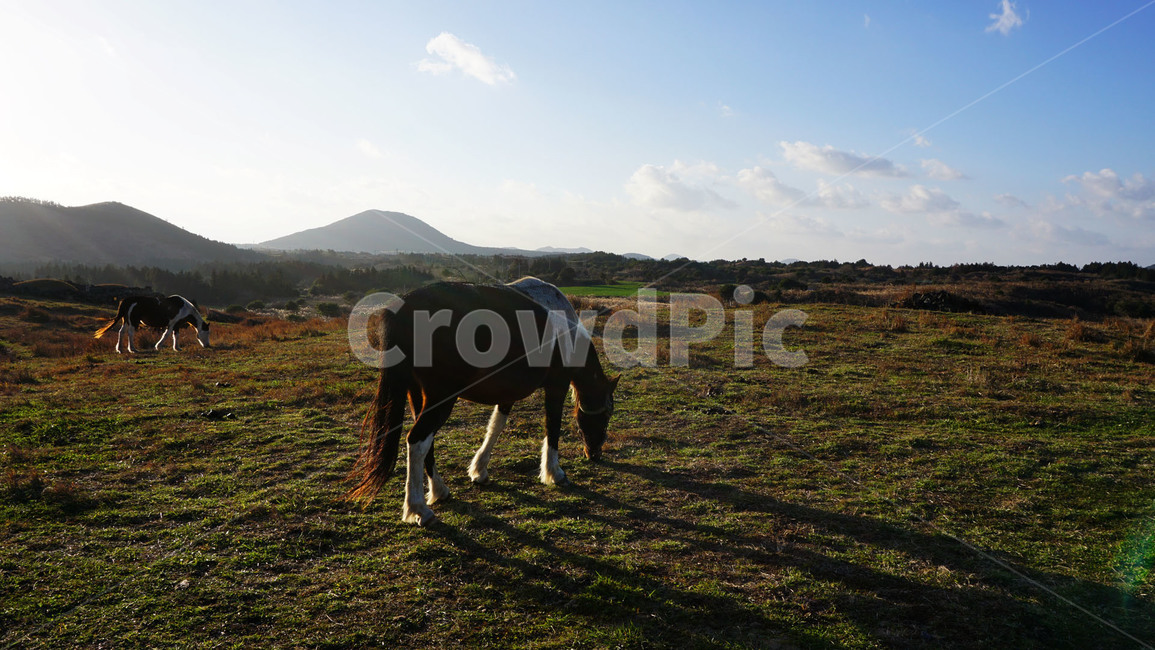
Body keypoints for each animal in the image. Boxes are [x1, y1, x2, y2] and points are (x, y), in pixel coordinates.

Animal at [346, 278, 619, 526]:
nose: (594, 453)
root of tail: (406, 305)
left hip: (419, 396)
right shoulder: (556, 388)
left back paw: (439, 491)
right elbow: (552, 429)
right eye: (606, 414)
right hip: (440, 398)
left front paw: (479, 470)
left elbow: (495, 427)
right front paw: (554, 473)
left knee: (424, 442)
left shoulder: (508, 395)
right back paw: (418, 509)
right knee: (417, 440)